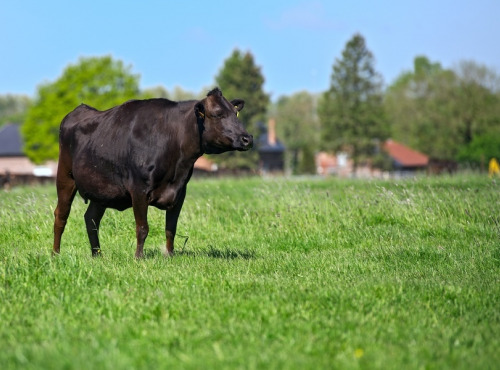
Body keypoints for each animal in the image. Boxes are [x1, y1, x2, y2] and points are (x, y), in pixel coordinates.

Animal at [53, 88, 254, 258]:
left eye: (235, 113)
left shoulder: (180, 191)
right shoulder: (139, 189)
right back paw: (56, 254)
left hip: (101, 189)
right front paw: (139, 258)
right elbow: (143, 227)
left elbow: (171, 227)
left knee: (91, 219)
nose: (248, 138)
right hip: (65, 176)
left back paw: (97, 255)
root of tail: (79, 109)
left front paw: (170, 256)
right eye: (218, 114)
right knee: (61, 215)